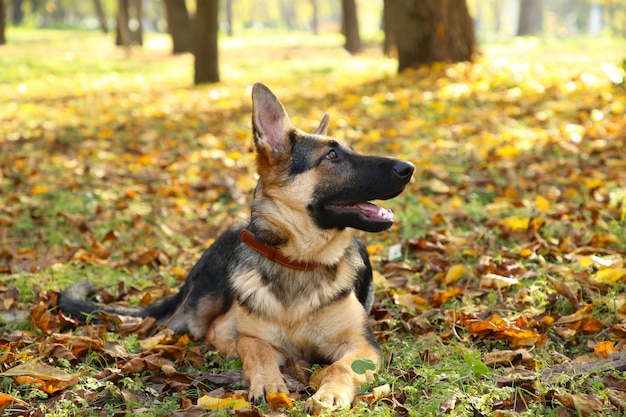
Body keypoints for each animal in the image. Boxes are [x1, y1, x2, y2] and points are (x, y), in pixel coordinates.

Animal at [57, 82, 410, 410]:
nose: (409, 168)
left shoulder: (362, 344)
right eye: (332, 155)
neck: (297, 262)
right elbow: (256, 348)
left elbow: (341, 367)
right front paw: (268, 382)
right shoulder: (248, 335)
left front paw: (329, 393)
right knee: (194, 327)